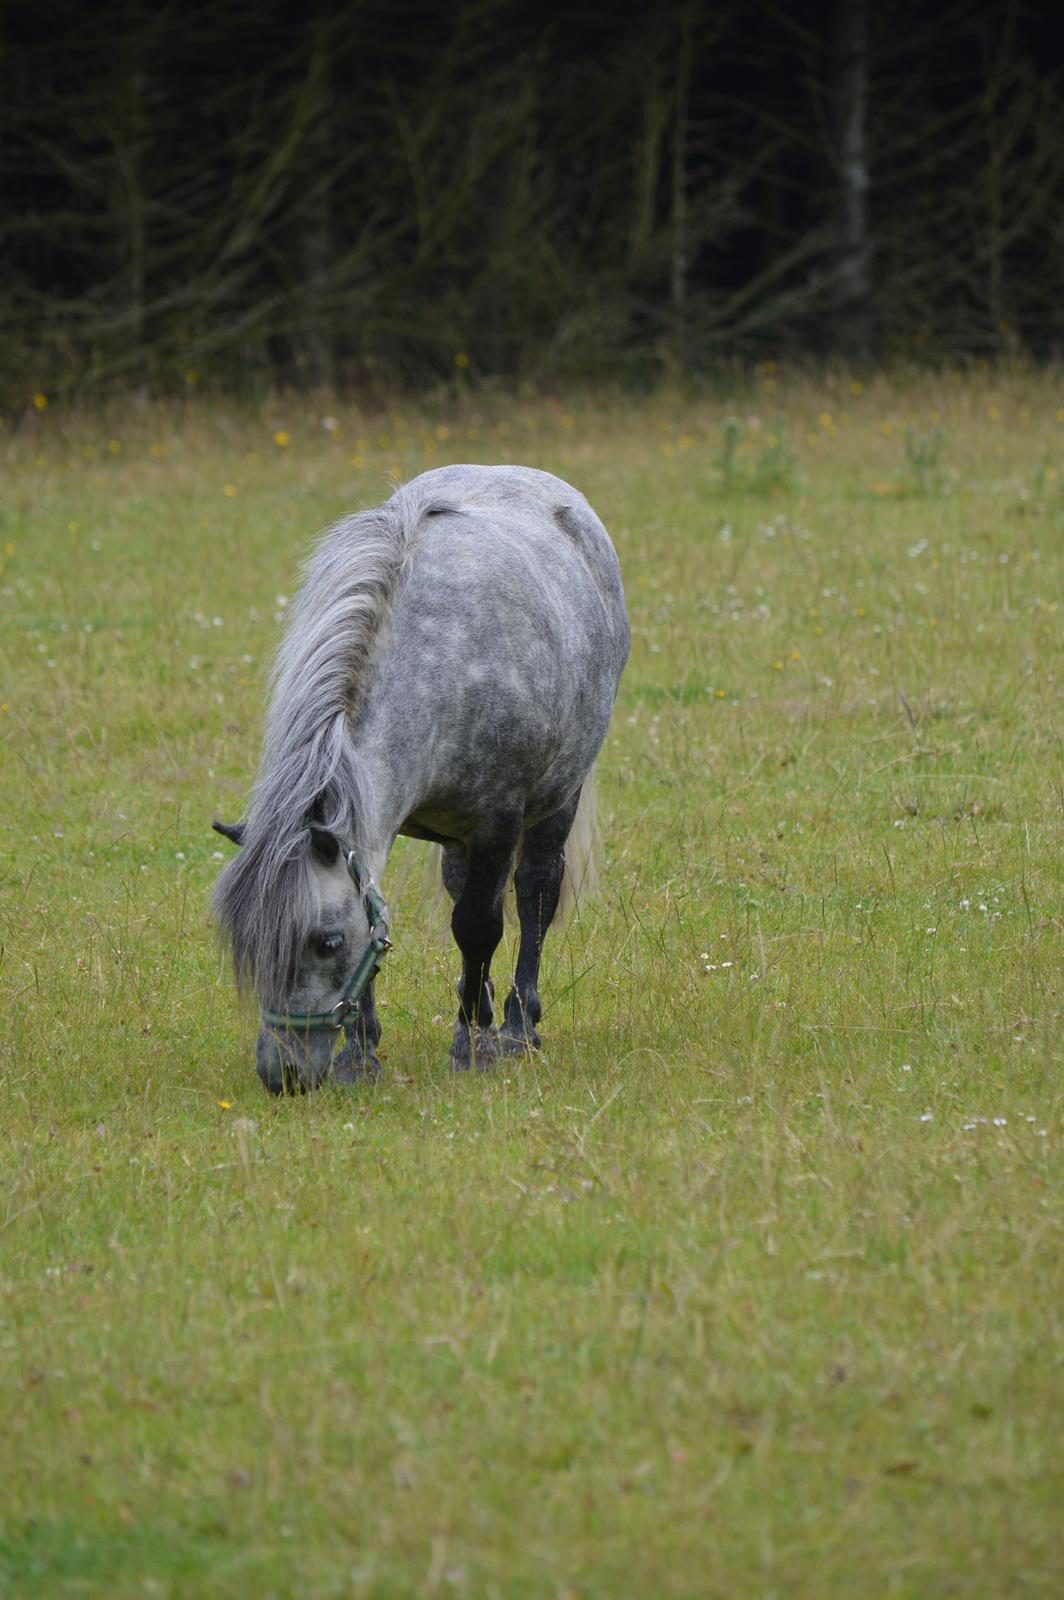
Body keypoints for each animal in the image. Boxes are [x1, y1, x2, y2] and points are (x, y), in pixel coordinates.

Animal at [214, 457, 627, 1094]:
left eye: (325, 942)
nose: (282, 1075)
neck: (434, 673)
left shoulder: (498, 822)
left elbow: (480, 926)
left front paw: (473, 1047)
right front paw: (361, 1057)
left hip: (558, 800)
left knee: (535, 893)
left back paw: (516, 1026)